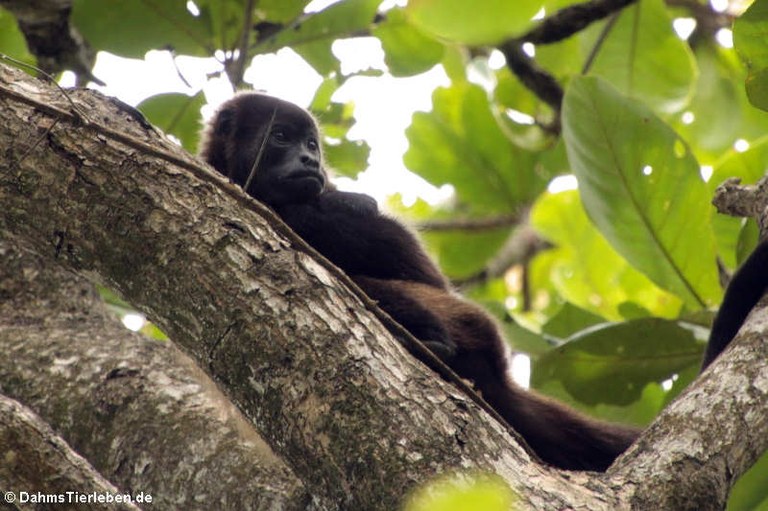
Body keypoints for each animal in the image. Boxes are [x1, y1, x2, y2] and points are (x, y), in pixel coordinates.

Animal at [200, 92, 768, 472]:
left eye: (312, 143)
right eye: (281, 137)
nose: (309, 159)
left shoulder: (336, 199)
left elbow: (374, 230)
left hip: (473, 324)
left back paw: (433, 346)